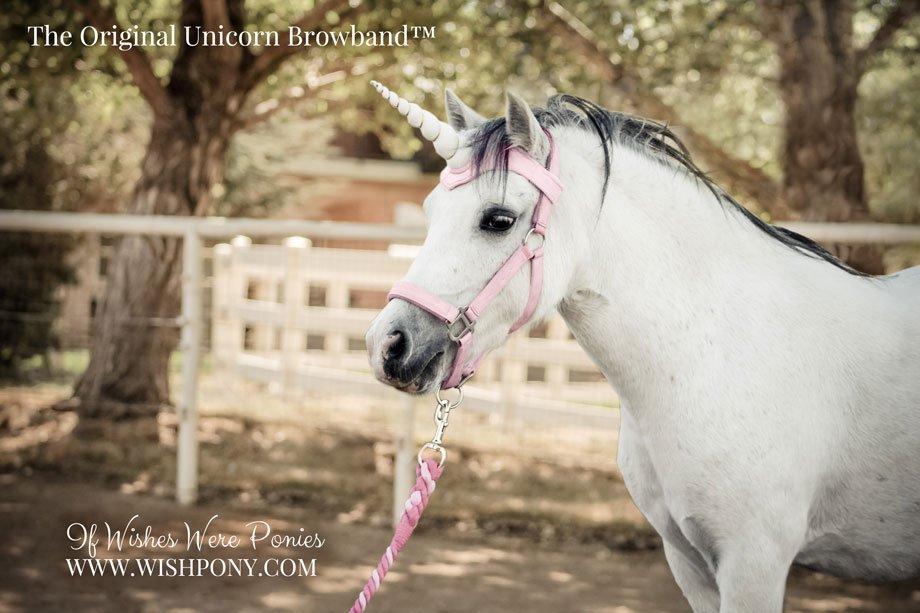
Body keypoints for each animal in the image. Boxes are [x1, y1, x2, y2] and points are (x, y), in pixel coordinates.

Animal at [364, 82, 920, 612]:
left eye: (498, 219)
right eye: (430, 211)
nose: (387, 345)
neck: (717, 355)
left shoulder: (754, 563)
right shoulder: (688, 561)